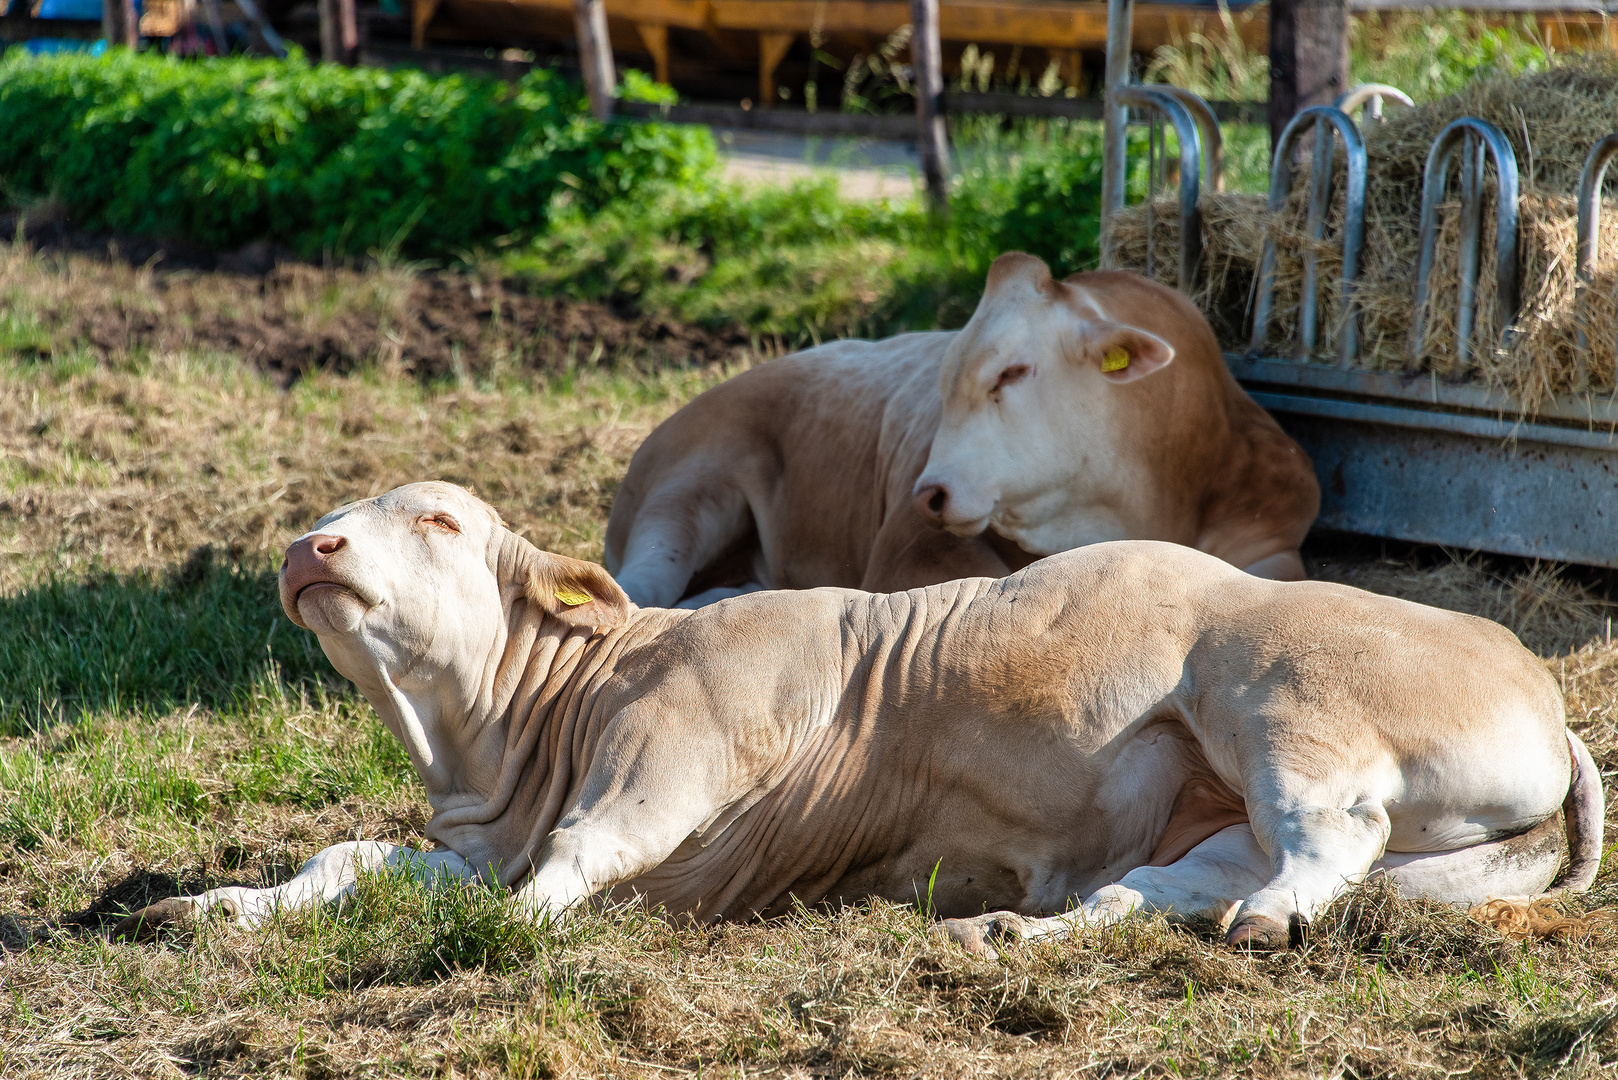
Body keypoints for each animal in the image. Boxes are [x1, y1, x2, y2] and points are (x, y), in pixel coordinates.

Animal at [117, 485, 1605, 952]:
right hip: (1210, 813)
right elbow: (350, 859)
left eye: (433, 519)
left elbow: (581, 855)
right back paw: (1017, 931)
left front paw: (525, 926)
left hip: (1281, 706)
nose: (309, 546)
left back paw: (1273, 917)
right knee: (1153, 893)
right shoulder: (470, 836)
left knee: (1324, 838)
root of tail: (1546, 694)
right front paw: (215, 905)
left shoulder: (684, 746)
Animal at [605, 250, 1313, 612]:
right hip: (687, 493)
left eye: (1013, 371)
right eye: (944, 379)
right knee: (644, 589)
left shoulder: (1273, 540)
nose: (930, 493)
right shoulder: (910, 548)